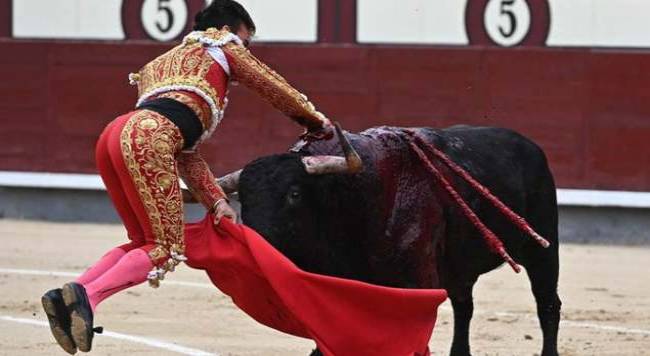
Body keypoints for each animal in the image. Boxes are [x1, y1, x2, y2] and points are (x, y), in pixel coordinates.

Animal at [232, 124, 556, 354]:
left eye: (295, 193)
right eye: (243, 199)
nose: (253, 243)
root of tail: (530, 146)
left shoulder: (419, 282)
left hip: (542, 249)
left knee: (547, 305)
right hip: (460, 267)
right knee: (464, 307)